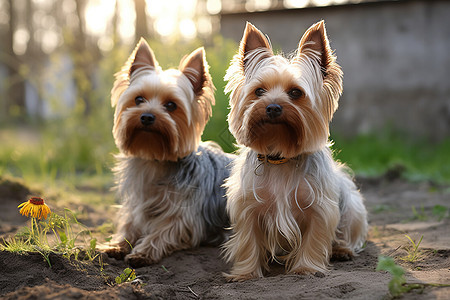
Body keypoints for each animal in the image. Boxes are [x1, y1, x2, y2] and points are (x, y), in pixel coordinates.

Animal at [104, 38, 234, 268]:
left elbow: (165, 229)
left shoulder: (185, 213)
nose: (147, 116)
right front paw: (116, 245)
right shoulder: (137, 205)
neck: (155, 159)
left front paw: (142, 252)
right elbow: (129, 224)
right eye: (139, 100)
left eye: (171, 105)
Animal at [223, 21, 368, 282]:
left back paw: (342, 250)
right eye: (259, 91)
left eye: (295, 93)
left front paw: (306, 269)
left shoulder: (319, 207)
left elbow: (314, 237)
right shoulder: (248, 207)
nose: (272, 107)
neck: (280, 155)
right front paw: (246, 273)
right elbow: (248, 241)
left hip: (352, 207)